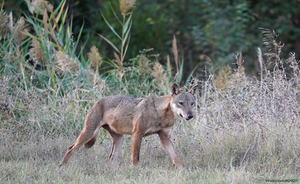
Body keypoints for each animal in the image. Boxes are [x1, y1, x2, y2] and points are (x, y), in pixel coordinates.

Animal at [59, 84, 198, 167]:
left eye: (192, 104)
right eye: (181, 103)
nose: (190, 116)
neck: (160, 114)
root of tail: (97, 101)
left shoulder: (164, 138)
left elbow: (175, 158)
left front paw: (181, 170)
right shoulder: (137, 134)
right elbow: (135, 158)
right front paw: (134, 170)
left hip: (118, 139)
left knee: (111, 157)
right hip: (88, 134)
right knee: (70, 148)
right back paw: (62, 166)